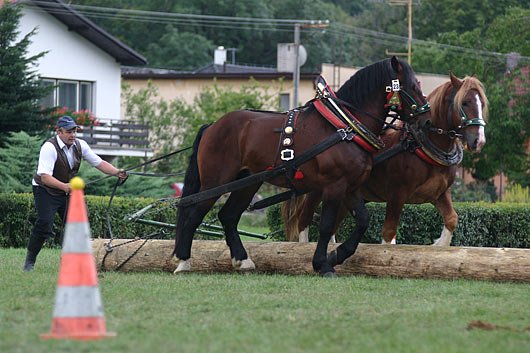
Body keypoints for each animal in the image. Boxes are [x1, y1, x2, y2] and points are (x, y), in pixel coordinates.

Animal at [173, 56, 428, 276]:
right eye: (411, 85)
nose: (425, 119)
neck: (345, 127)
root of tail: (212, 125)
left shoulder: (351, 187)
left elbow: (363, 220)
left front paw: (337, 256)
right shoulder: (335, 185)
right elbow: (326, 225)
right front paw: (322, 264)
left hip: (247, 183)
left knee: (228, 216)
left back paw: (242, 260)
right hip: (216, 180)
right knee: (193, 215)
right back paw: (184, 261)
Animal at [282, 73, 484, 246]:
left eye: (482, 103)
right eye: (465, 102)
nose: (479, 141)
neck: (421, 145)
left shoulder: (440, 194)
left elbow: (452, 219)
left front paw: (439, 246)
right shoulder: (397, 194)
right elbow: (389, 232)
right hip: (318, 190)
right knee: (304, 220)